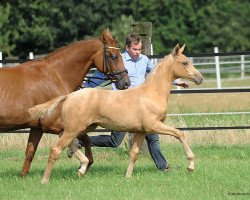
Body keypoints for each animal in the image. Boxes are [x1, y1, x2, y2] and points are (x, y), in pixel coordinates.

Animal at [28, 43, 203, 183]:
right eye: (184, 62)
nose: (200, 78)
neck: (151, 93)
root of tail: (69, 96)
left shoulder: (142, 131)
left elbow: (134, 153)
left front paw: (128, 176)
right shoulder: (154, 125)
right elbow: (180, 134)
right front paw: (191, 165)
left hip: (81, 127)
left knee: (69, 142)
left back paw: (82, 167)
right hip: (73, 128)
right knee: (56, 149)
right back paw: (45, 180)